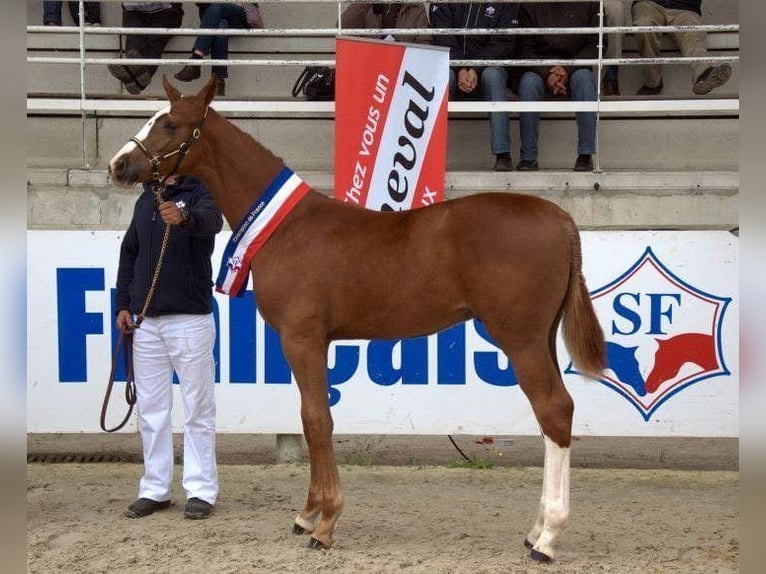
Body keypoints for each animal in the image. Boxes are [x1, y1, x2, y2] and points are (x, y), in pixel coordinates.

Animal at [108, 76, 605, 563]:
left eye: (171, 124)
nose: (119, 164)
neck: (285, 228)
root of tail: (561, 219)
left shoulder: (302, 339)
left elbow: (317, 420)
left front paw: (324, 525)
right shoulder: (312, 343)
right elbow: (308, 418)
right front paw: (307, 514)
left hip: (520, 340)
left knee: (554, 412)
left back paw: (547, 539)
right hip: (540, 339)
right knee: (554, 416)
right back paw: (536, 530)